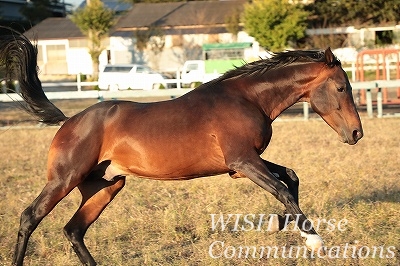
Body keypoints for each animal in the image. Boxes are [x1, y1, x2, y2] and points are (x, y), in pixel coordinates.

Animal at [0, 29, 362, 266]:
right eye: (341, 87)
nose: (356, 133)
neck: (247, 99)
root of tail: (69, 121)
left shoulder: (241, 166)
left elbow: (291, 177)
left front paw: (281, 224)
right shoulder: (243, 161)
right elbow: (282, 188)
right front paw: (314, 240)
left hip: (105, 186)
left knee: (74, 230)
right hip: (65, 179)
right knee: (30, 217)